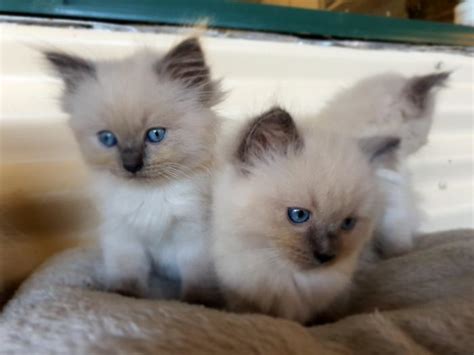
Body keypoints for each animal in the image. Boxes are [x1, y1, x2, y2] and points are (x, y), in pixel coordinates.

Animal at [211, 107, 396, 324]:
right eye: (299, 215)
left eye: (348, 223)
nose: (326, 256)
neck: (292, 280)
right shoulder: (239, 300)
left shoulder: (331, 304)